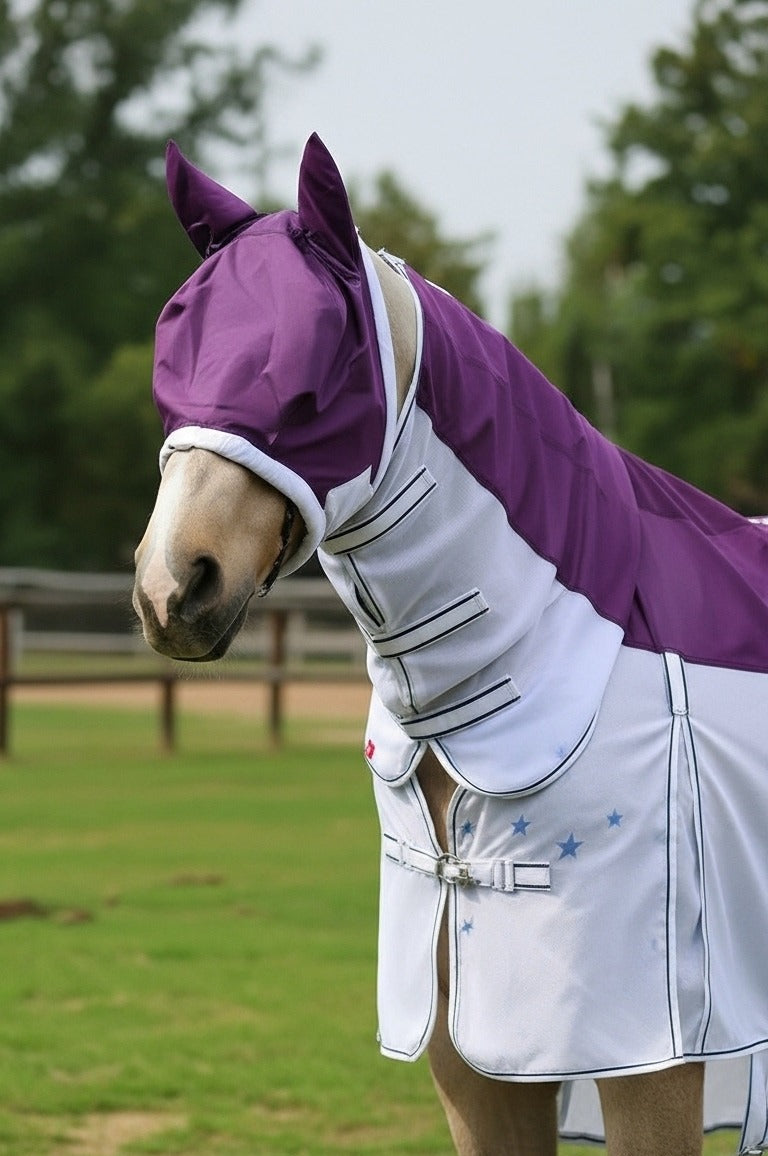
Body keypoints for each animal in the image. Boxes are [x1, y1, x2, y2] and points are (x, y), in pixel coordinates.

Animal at [133, 134, 768, 1156]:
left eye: (314, 382)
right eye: (169, 361)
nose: (171, 587)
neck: (555, 654)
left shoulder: (654, 1064)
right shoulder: (469, 1060)